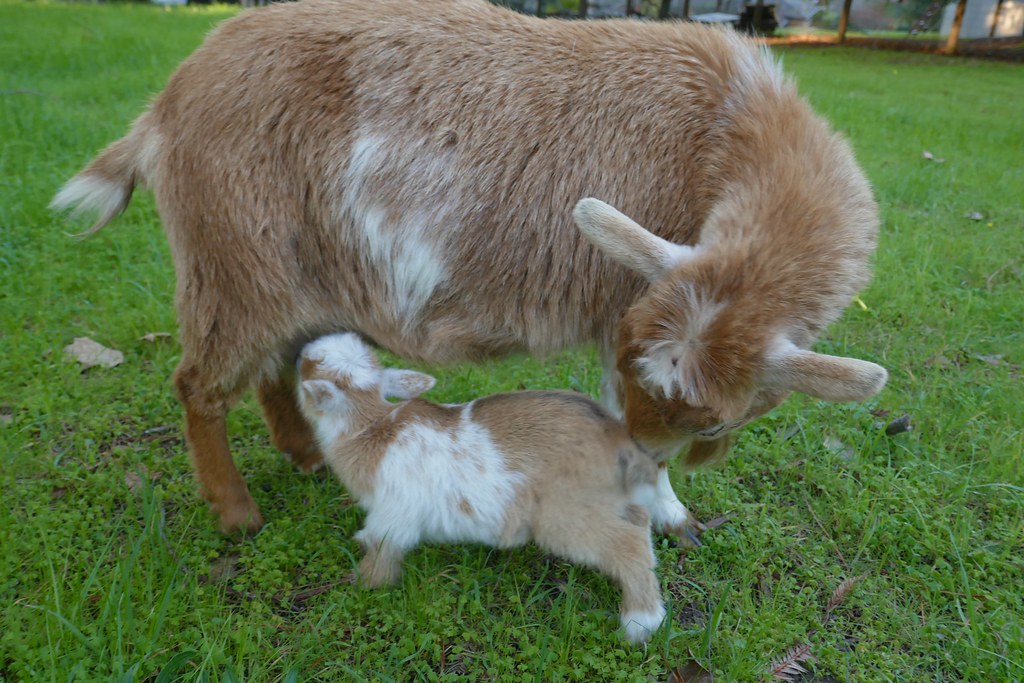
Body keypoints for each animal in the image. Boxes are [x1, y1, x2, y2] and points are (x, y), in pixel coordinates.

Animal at [52, 0, 887, 535]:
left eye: (713, 418)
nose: (651, 454)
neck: (729, 126)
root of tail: (165, 106)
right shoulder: (619, 306)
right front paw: (662, 508)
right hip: (231, 255)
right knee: (198, 384)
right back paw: (234, 513)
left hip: (281, 268)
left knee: (274, 364)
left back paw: (303, 455)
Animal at [297, 333, 666, 643]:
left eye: (307, 369)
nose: (300, 351)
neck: (370, 427)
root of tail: (615, 435)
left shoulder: (392, 515)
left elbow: (382, 547)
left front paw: (366, 583)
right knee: (640, 524)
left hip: (569, 516)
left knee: (628, 545)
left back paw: (640, 622)